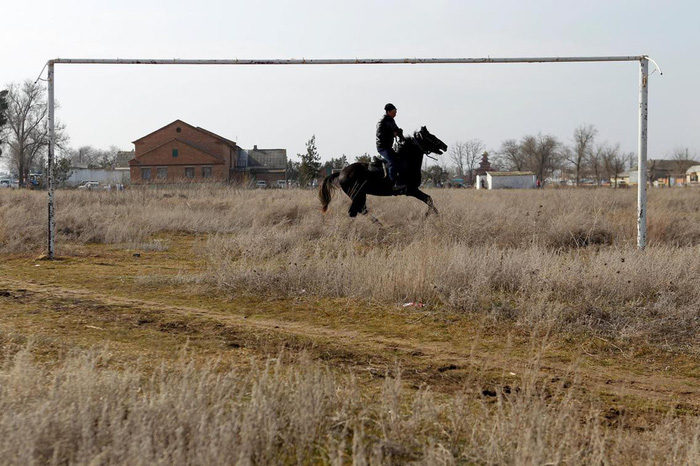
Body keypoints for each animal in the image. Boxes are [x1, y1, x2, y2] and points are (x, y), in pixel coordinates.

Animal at [318, 124, 446, 218]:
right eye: (431, 136)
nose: (445, 146)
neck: (406, 161)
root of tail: (341, 172)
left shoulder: (413, 190)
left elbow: (429, 199)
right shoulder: (410, 190)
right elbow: (428, 199)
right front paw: (430, 215)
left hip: (359, 195)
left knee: (358, 211)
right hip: (357, 195)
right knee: (358, 211)